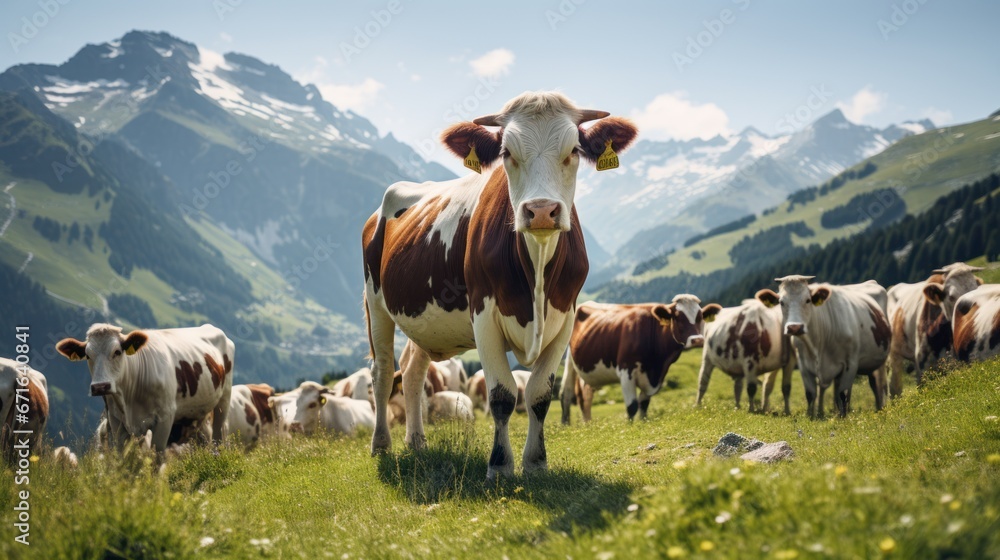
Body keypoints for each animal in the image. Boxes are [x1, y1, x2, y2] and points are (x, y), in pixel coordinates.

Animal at [56, 323, 234, 452]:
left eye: (117, 352)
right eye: (87, 355)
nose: (100, 387)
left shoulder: (165, 418)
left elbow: (156, 457)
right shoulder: (116, 420)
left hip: (224, 400)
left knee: (218, 434)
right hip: (197, 413)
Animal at [362, 91, 637, 479]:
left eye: (573, 150)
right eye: (507, 152)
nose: (541, 210)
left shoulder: (566, 319)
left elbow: (538, 396)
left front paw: (536, 463)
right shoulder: (484, 316)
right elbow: (503, 396)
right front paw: (500, 466)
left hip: (425, 320)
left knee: (413, 371)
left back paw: (416, 441)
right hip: (375, 301)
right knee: (384, 370)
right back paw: (381, 444)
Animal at [560, 296, 721, 423]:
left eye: (700, 317)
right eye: (677, 317)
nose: (697, 340)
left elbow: (643, 404)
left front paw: (643, 422)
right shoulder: (626, 370)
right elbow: (632, 406)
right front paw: (630, 426)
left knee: (585, 397)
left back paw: (589, 424)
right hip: (568, 358)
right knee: (566, 394)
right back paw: (565, 425)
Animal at [756, 276, 890, 418]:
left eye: (808, 300)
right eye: (781, 302)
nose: (794, 327)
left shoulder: (851, 364)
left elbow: (842, 394)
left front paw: (843, 418)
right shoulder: (803, 364)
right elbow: (811, 393)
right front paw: (811, 416)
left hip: (879, 360)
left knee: (877, 384)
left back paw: (879, 408)